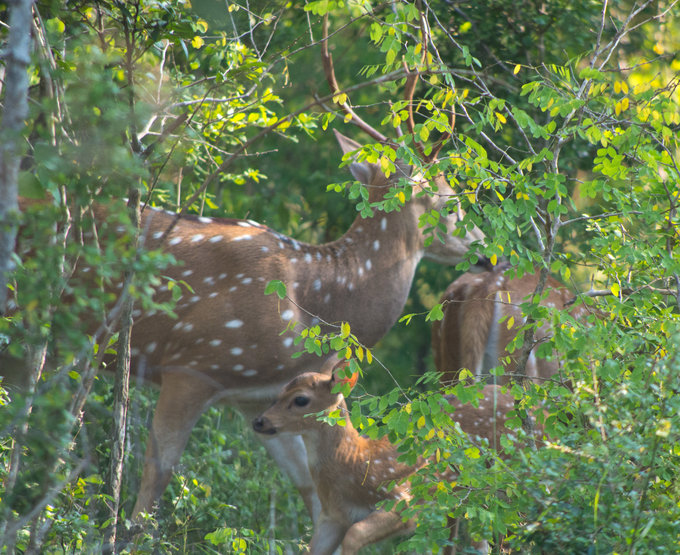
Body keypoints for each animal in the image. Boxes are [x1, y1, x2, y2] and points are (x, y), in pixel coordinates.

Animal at [252, 360, 516, 555]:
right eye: (278, 393)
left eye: (300, 399)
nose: (259, 421)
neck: (355, 461)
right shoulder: (332, 515)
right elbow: (311, 548)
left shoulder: (402, 499)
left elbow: (355, 534)